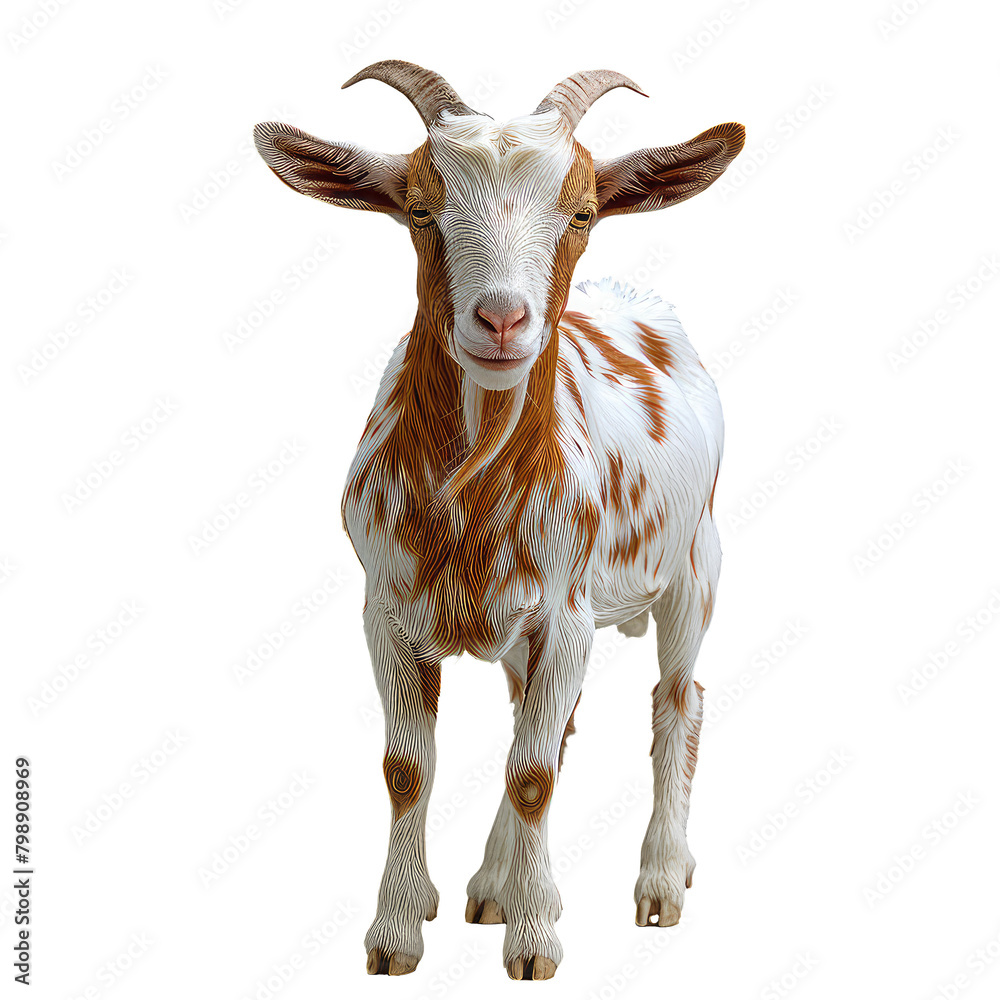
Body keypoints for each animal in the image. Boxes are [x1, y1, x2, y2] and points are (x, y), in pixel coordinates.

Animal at [254, 59, 744, 981]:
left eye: (582, 212)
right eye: (419, 208)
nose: (503, 320)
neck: (469, 499)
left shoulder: (566, 613)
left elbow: (533, 776)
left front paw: (536, 941)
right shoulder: (386, 609)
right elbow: (410, 769)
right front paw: (398, 932)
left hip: (696, 566)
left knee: (676, 701)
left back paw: (660, 880)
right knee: (550, 725)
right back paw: (494, 882)